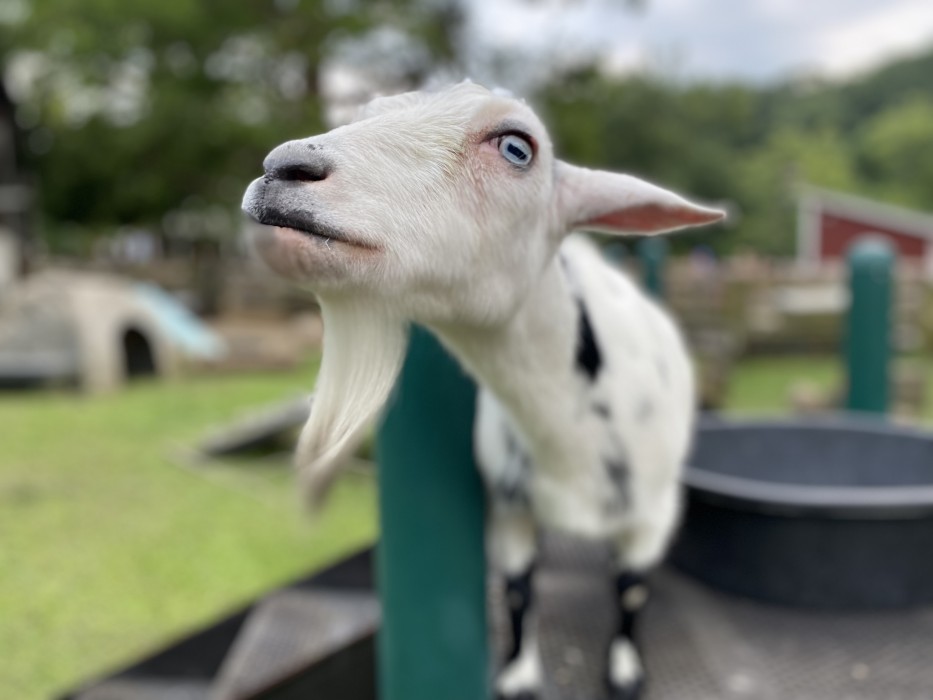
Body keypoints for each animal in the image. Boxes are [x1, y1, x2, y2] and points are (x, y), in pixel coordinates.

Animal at [240, 83, 720, 700]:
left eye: (517, 147)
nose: (283, 168)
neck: (570, 442)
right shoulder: (511, 506)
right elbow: (518, 587)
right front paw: (517, 675)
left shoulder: (652, 517)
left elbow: (632, 588)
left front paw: (625, 670)